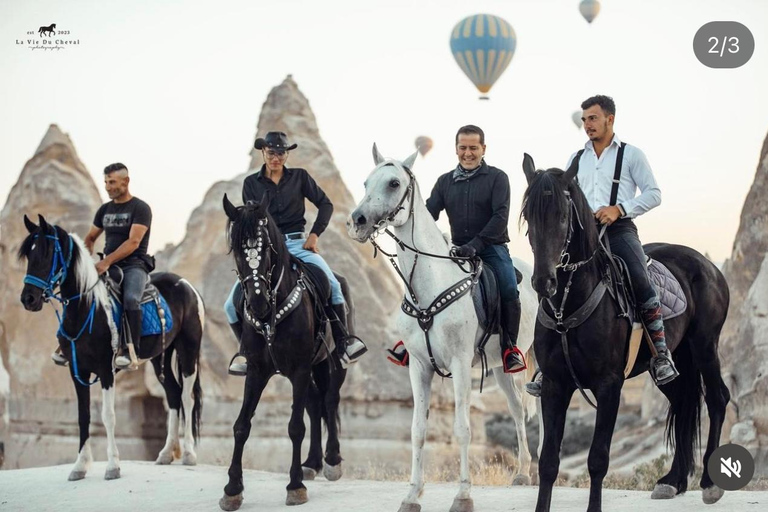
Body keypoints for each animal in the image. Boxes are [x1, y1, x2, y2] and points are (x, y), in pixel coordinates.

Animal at [18, 214, 204, 482]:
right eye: (28, 255)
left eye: (47, 252)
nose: (28, 299)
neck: (87, 308)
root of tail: (187, 285)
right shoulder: (78, 372)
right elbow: (83, 416)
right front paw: (80, 466)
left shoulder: (107, 371)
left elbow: (108, 416)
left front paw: (113, 466)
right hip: (160, 357)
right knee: (173, 395)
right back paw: (166, 453)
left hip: (188, 352)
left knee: (187, 398)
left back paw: (188, 453)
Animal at [218, 194, 346, 510]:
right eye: (237, 249)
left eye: (267, 248)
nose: (258, 303)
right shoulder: (257, 371)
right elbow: (241, 426)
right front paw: (232, 488)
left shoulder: (299, 369)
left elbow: (295, 427)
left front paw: (295, 485)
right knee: (315, 403)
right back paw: (312, 463)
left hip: (331, 363)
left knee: (329, 399)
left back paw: (332, 460)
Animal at [348, 145, 540, 512]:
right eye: (365, 181)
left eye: (394, 183)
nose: (358, 221)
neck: (429, 284)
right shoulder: (419, 367)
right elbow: (417, 430)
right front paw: (412, 495)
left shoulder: (461, 364)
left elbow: (462, 428)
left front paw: (463, 495)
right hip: (500, 370)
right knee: (516, 410)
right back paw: (523, 473)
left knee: (533, 409)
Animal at [520, 157, 732, 512]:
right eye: (527, 216)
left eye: (562, 216)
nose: (544, 282)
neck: (570, 302)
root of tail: (709, 266)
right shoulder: (553, 385)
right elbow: (548, 461)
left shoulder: (609, 386)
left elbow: (597, 460)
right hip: (673, 362)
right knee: (684, 401)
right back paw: (672, 481)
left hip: (705, 346)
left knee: (717, 398)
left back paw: (709, 484)